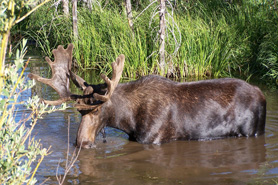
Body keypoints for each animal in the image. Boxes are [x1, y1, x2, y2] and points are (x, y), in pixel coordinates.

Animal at [28, 43, 268, 149]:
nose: (81, 142)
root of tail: (262, 95)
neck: (127, 121)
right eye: (79, 111)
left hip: (253, 130)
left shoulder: (152, 139)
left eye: (97, 110)